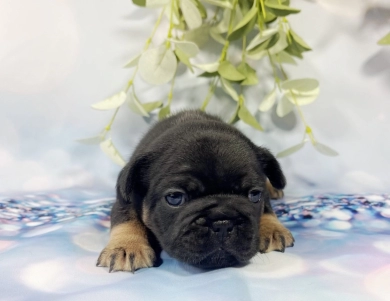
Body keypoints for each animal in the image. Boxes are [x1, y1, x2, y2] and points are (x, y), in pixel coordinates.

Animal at [96, 110, 292, 272]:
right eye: (175, 198)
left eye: (254, 195)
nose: (223, 223)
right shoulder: (125, 199)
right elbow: (125, 219)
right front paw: (126, 246)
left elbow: (267, 208)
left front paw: (272, 228)